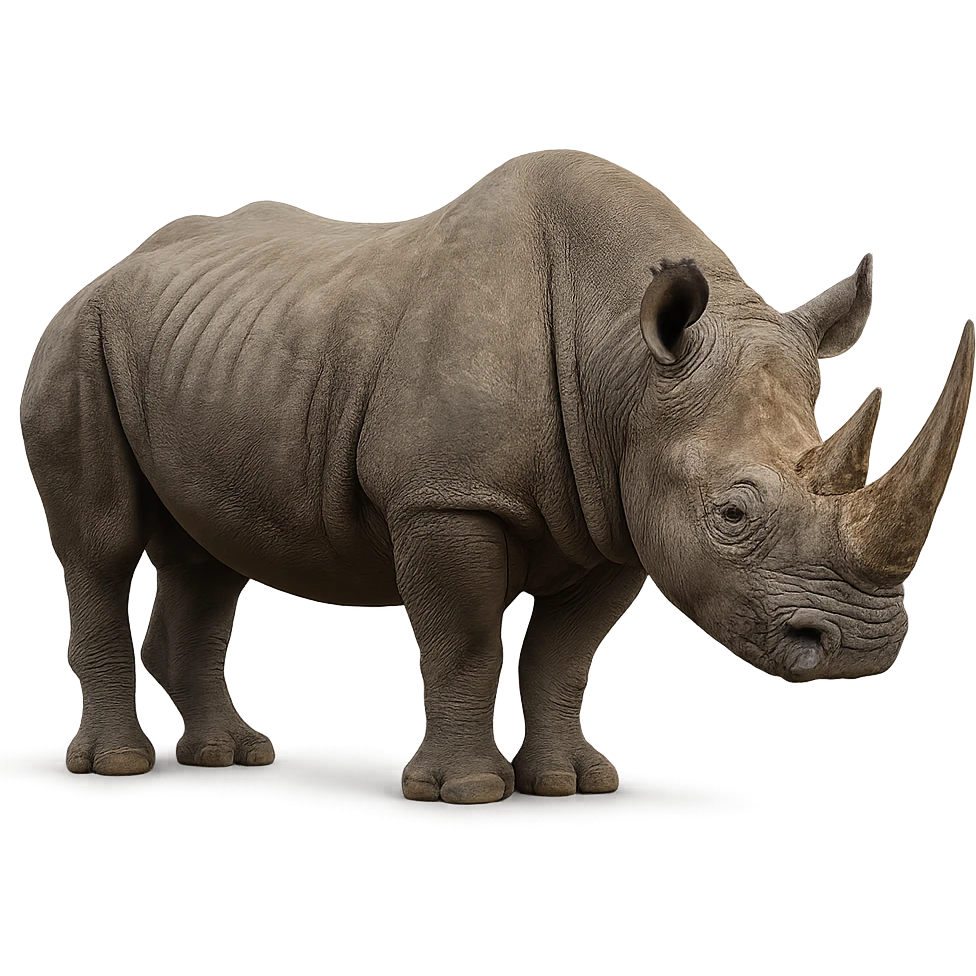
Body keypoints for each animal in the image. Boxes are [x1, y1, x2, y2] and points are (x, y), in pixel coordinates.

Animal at [20, 150, 973, 804]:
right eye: (733, 514)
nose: (863, 650)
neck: (624, 364)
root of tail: (106, 268)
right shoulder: (446, 498)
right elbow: (467, 637)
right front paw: (467, 792)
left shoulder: (621, 507)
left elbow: (565, 653)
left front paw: (571, 784)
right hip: (74, 342)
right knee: (102, 547)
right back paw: (123, 765)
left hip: (209, 349)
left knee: (208, 557)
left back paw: (232, 754)